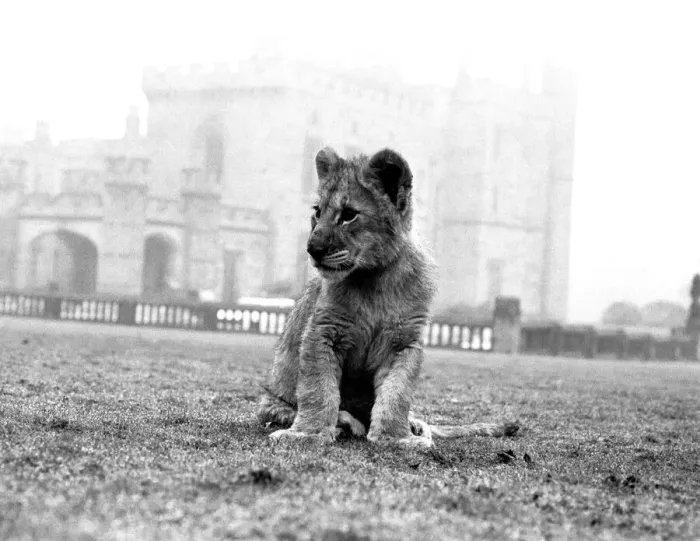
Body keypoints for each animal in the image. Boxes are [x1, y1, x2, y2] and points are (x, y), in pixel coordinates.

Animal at [257, 147, 518, 447]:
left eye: (349, 214)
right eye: (317, 212)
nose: (312, 249)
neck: (375, 280)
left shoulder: (403, 341)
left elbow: (397, 393)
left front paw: (396, 438)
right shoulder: (322, 332)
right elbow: (318, 389)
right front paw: (306, 434)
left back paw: (414, 426)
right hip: (271, 401)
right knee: (286, 408)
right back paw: (346, 422)